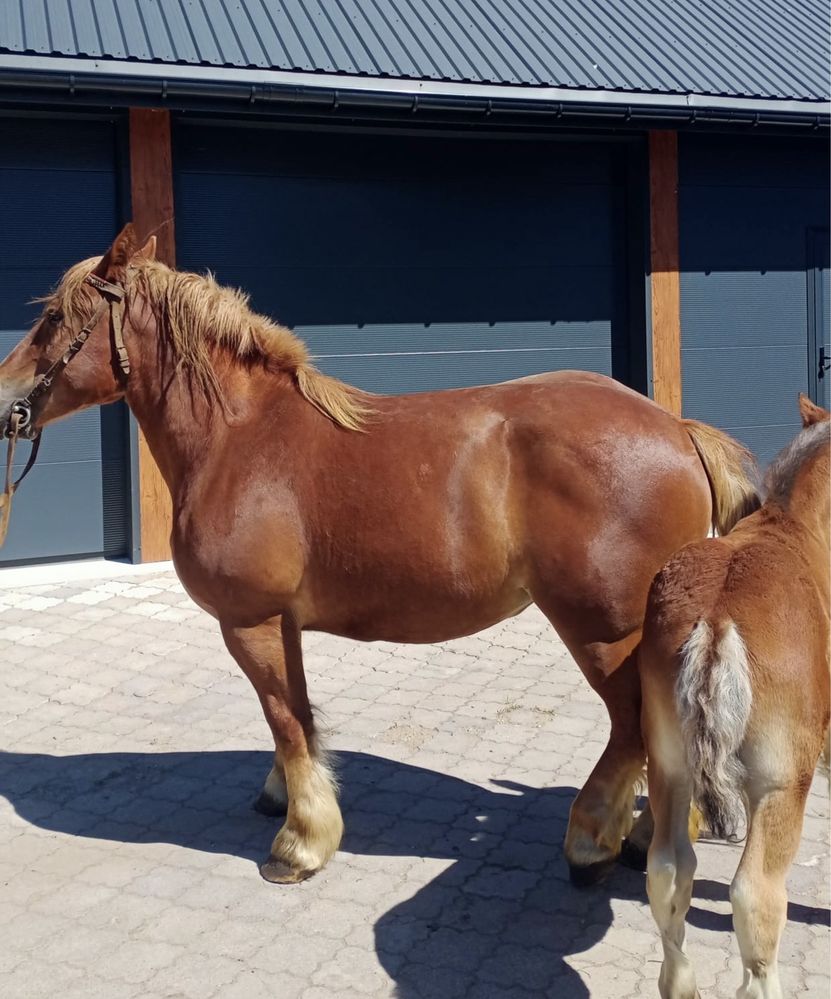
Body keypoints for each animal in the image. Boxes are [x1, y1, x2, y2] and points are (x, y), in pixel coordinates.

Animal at [0, 225, 760, 884]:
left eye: (55, 318)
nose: (6, 400)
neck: (240, 437)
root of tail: (677, 429)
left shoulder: (250, 621)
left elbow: (286, 719)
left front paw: (302, 840)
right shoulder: (282, 623)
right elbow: (295, 715)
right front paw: (282, 797)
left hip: (600, 629)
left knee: (633, 727)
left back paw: (593, 840)